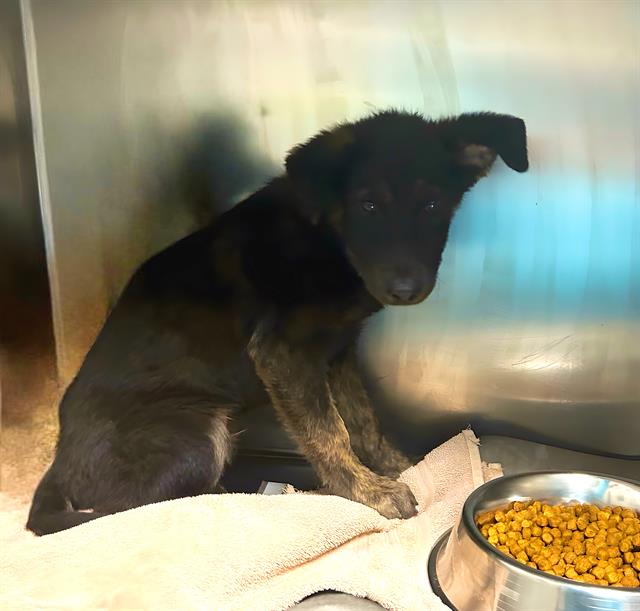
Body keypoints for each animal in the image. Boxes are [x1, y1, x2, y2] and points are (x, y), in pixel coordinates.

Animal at [27, 110, 528, 535]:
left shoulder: (337, 351)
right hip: (196, 431)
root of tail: (56, 467)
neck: (328, 238)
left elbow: (362, 418)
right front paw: (369, 492)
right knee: (140, 507)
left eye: (432, 205)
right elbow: (328, 432)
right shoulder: (282, 353)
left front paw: (395, 464)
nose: (405, 290)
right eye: (367, 206)